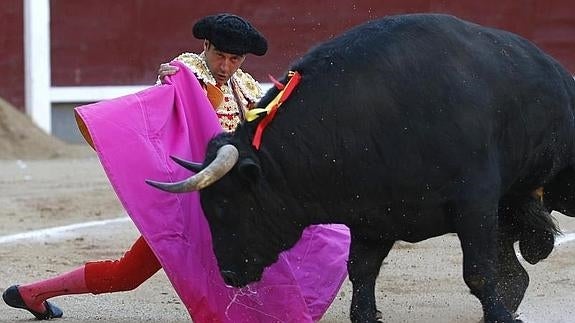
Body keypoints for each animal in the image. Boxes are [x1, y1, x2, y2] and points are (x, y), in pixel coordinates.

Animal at [148, 13, 575, 323]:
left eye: (225, 207)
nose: (229, 276)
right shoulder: (373, 218)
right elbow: (361, 270)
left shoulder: (475, 204)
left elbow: (479, 271)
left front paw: (500, 317)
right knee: (516, 264)